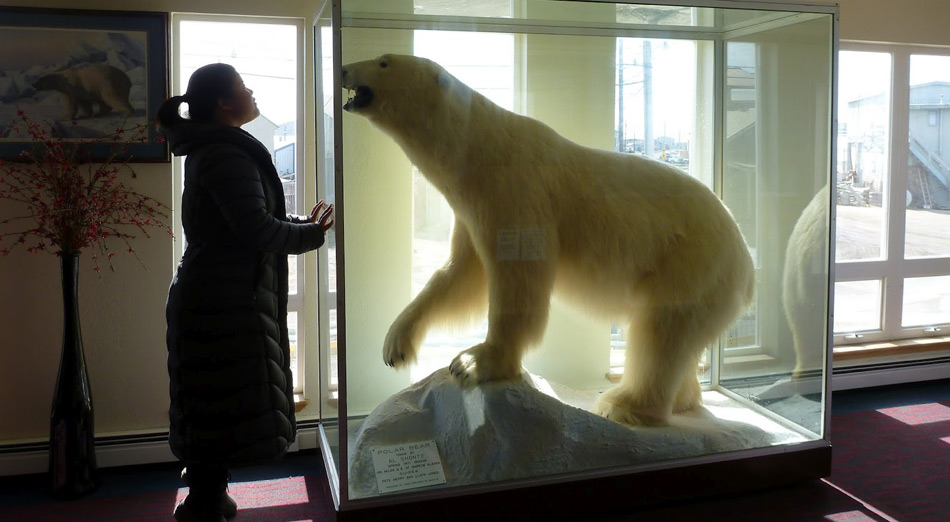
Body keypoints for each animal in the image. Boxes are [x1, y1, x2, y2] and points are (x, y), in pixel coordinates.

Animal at [342, 53, 760, 426]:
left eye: (383, 61)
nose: (343, 68)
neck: (479, 150)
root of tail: (748, 267)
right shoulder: (470, 210)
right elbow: (460, 276)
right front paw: (396, 344)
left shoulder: (516, 192)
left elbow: (518, 278)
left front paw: (474, 362)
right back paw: (680, 399)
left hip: (691, 260)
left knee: (661, 332)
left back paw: (623, 405)